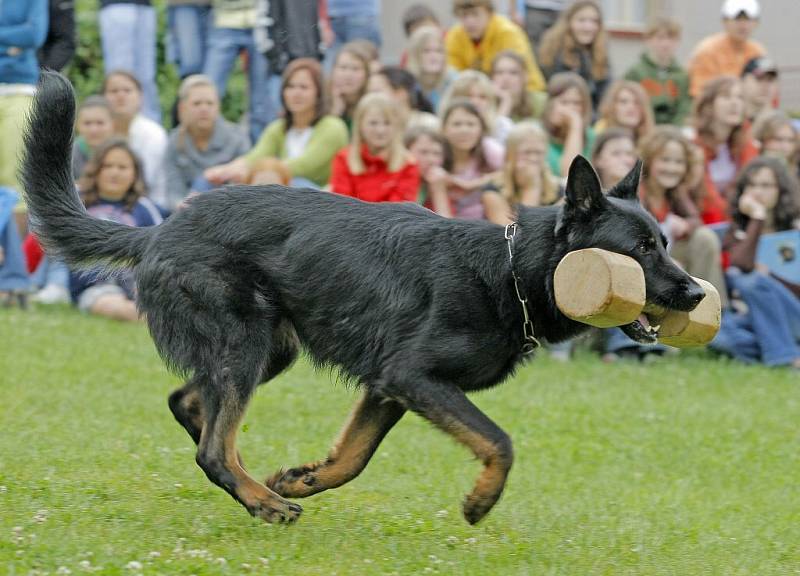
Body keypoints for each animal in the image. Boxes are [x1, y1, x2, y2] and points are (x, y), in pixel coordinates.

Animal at [21, 72, 704, 528]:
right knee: (212, 445)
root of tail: (160, 228)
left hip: (269, 351)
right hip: (246, 346)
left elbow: (353, 458)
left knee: (194, 409)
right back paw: (260, 501)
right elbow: (499, 441)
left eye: (666, 242)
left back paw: (255, 484)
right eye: (641, 249)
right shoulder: (414, 377)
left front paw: (302, 479)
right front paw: (481, 500)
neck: (509, 272)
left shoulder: (387, 388)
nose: (697, 293)